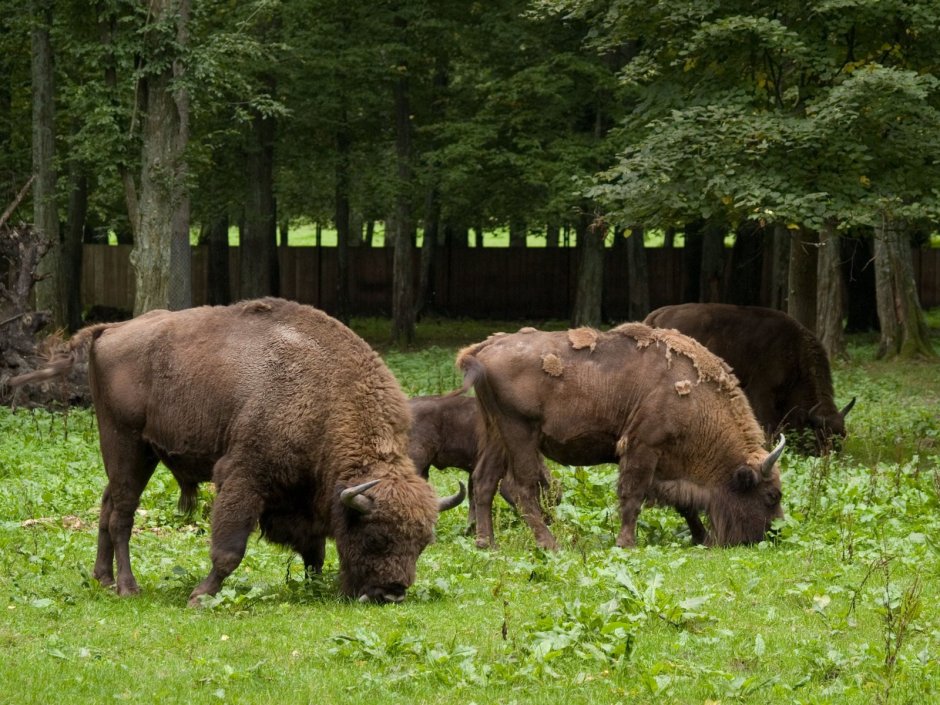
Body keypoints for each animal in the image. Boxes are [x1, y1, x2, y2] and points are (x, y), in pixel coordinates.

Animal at [11, 298, 464, 605]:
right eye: (375, 537)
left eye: (422, 543)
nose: (391, 593)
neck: (329, 396)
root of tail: (110, 329)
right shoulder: (244, 477)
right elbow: (230, 549)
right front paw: (200, 596)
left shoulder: (305, 495)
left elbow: (314, 549)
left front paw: (314, 583)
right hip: (126, 443)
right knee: (122, 514)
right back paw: (127, 587)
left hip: (136, 454)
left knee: (107, 505)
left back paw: (102, 580)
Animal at [456, 324, 785, 550]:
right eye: (771, 495)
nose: (775, 533)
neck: (695, 399)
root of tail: (483, 349)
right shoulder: (644, 447)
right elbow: (633, 496)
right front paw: (626, 543)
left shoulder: (666, 464)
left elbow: (684, 504)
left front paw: (701, 537)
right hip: (520, 432)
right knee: (520, 487)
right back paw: (550, 544)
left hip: (497, 433)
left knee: (484, 481)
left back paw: (487, 544)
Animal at [644, 303, 854, 454]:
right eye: (820, 437)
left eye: (843, 435)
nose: (833, 460)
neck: (795, 352)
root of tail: (657, 315)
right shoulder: (763, 392)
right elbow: (768, 425)